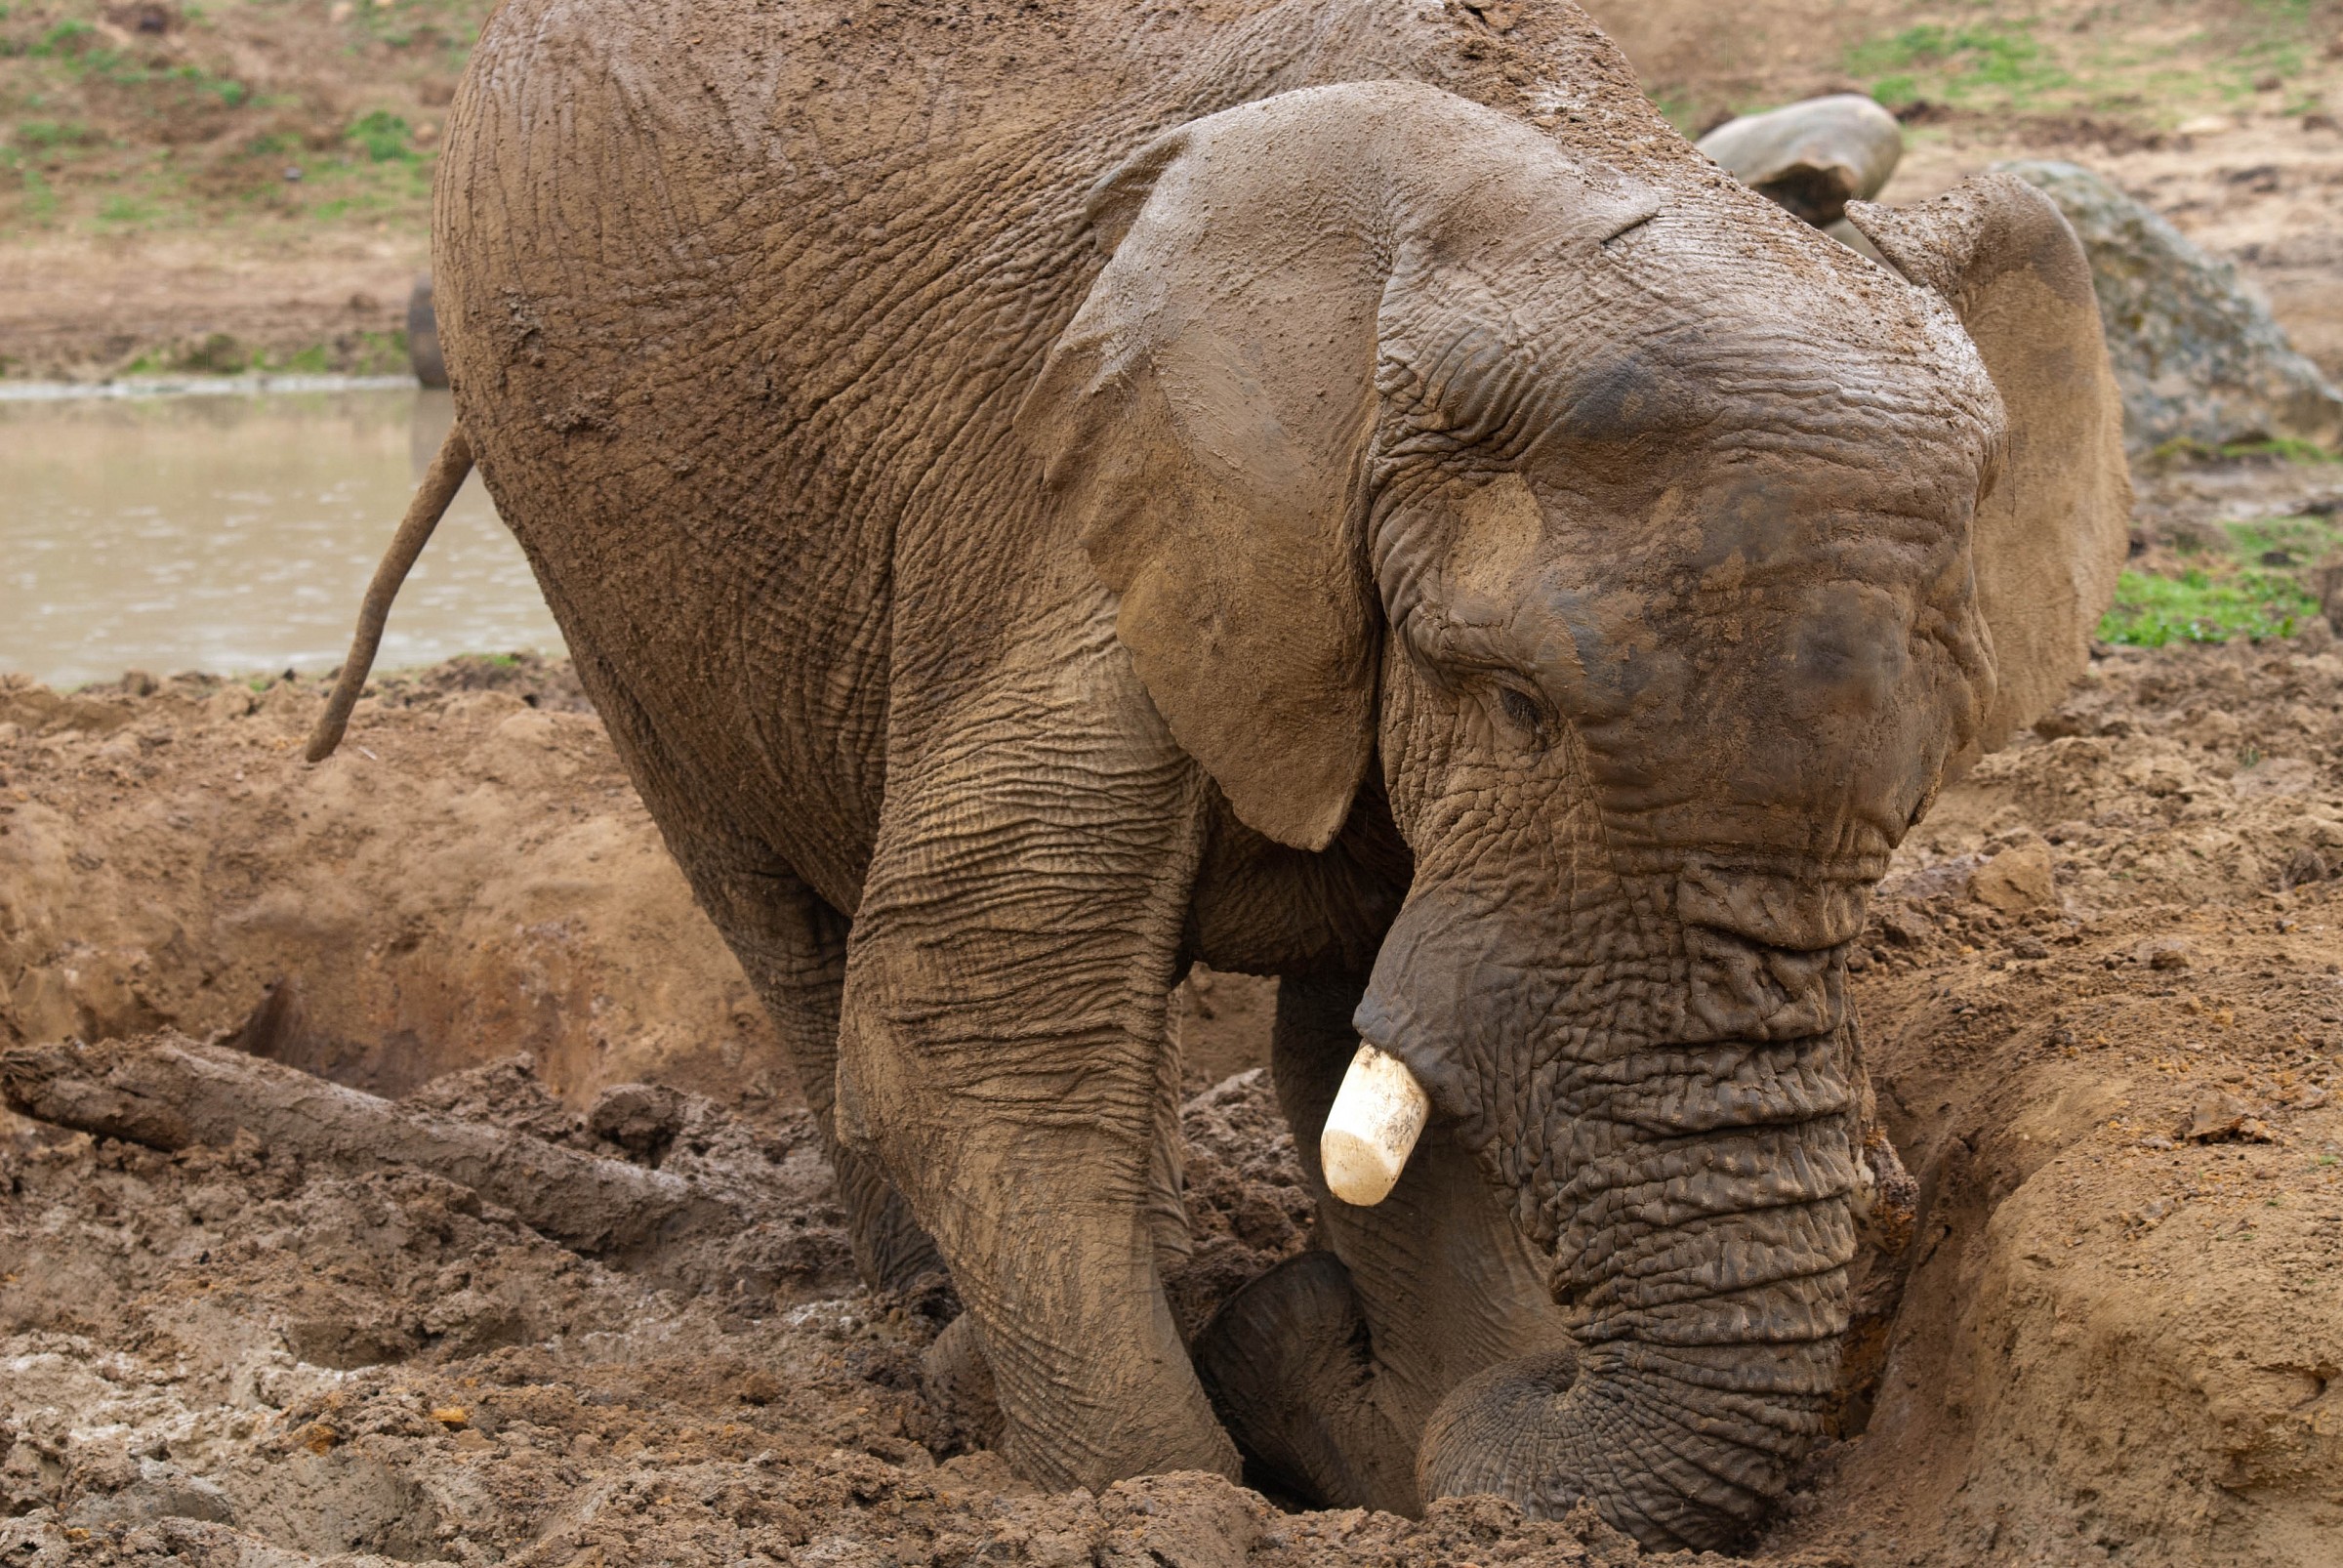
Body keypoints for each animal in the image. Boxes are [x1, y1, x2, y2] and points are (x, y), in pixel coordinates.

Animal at [311, 0, 2128, 1550]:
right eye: (1513, 702)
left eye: (1927, 782)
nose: (1539, 1391)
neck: (1543, 175)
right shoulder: (1070, 499)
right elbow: (974, 1018)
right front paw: (1169, 1487)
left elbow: (1371, 1053)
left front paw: (1390, 1414)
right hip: (584, 514)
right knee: (784, 923)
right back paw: (938, 1332)